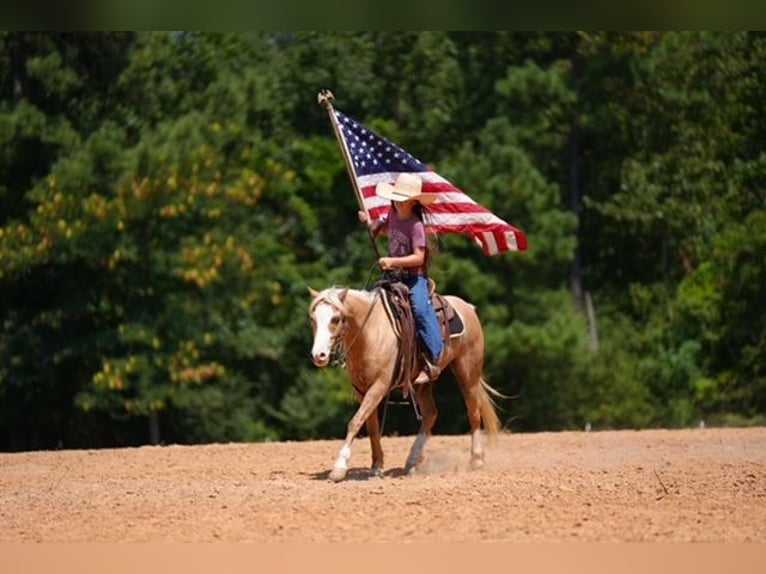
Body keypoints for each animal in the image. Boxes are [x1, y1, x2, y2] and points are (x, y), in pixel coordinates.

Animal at [308, 284, 503, 482]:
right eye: (313, 319)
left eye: (335, 319)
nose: (319, 355)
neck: (371, 332)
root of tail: (467, 307)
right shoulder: (363, 389)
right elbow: (371, 426)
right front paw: (376, 467)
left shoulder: (380, 385)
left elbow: (355, 422)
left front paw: (339, 468)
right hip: (421, 384)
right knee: (430, 414)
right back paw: (412, 461)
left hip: (468, 371)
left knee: (473, 412)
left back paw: (476, 460)